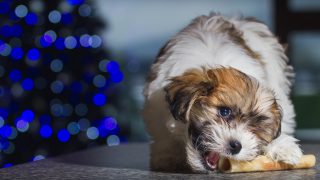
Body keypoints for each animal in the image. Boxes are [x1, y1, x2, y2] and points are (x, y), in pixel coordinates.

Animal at [142, 13, 302, 172]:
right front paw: (167, 156)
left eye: (256, 126)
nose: (236, 146)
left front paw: (283, 147)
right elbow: (162, 134)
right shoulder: (155, 107)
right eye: (224, 111)